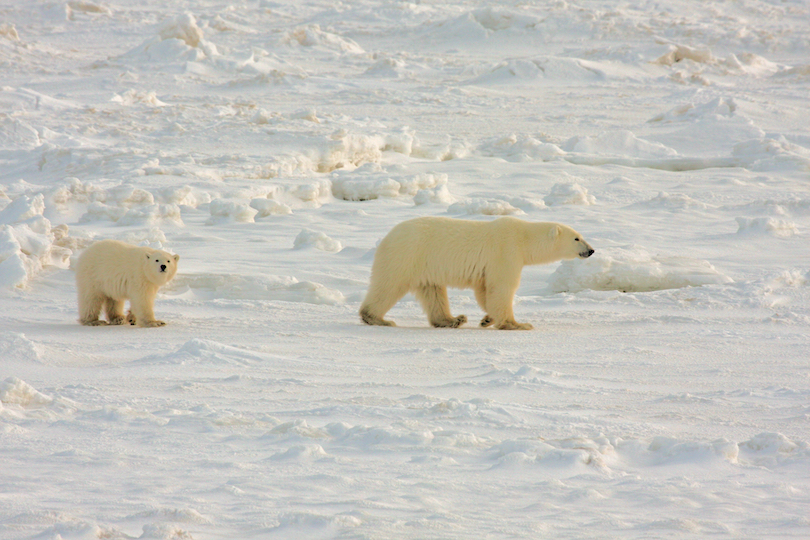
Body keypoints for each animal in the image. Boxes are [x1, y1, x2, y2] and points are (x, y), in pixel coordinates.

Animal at [360, 216, 592, 330]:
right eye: (577, 238)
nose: (591, 250)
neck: (523, 238)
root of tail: (388, 236)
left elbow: (485, 290)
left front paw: (487, 320)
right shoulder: (506, 251)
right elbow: (501, 287)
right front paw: (517, 324)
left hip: (425, 265)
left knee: (433, 292)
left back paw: (453, 319)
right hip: (407, 255)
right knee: (389, 285)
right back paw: (377, 318)